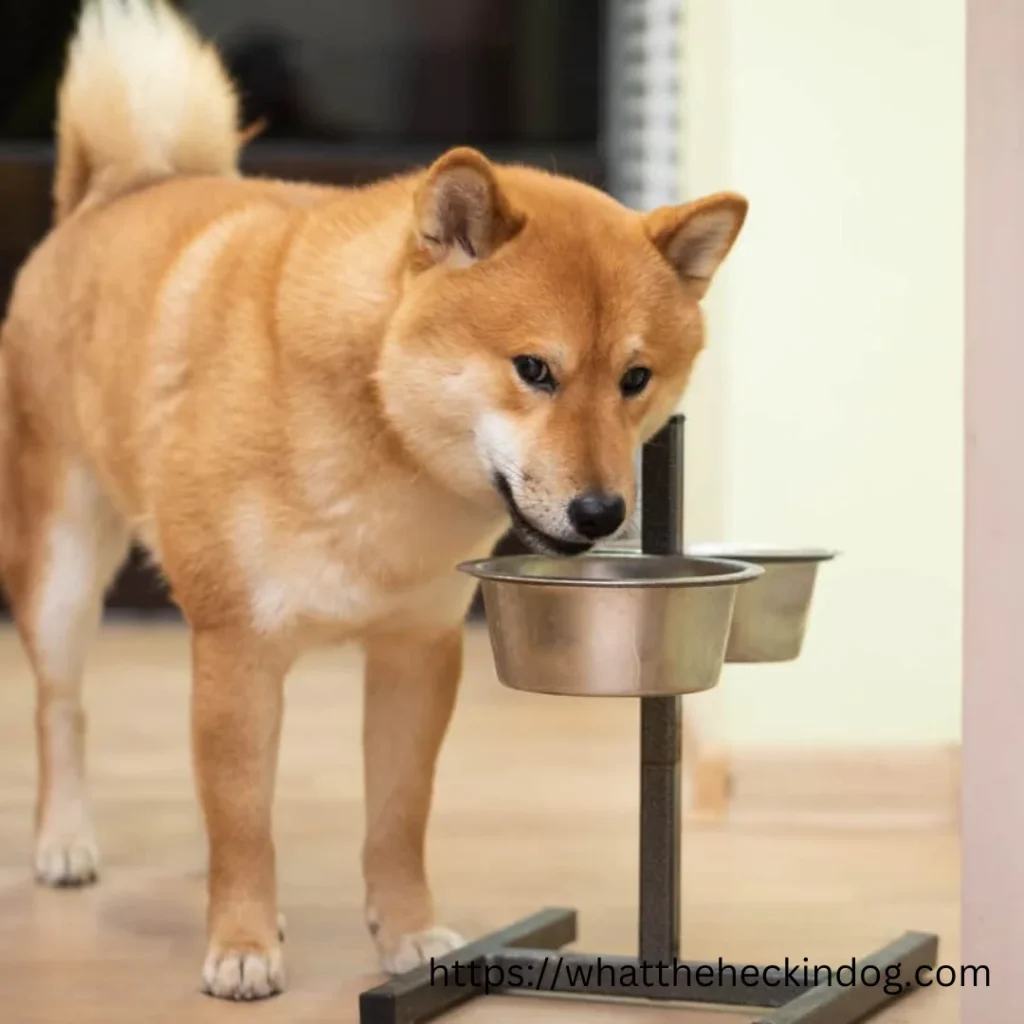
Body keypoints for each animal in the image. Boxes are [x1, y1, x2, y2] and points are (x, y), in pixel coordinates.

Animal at [0, 0, 749, 999]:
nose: (602, 514)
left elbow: (395, 818)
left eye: (636, 379)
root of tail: (112, 191)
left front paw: (410, 937)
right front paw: (243, 944)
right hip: (63, 565)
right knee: (60, 708)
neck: (381, 443)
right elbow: (244, 827)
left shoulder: (415, 650)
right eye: (534, 369)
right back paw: (64, 841)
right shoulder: (237, 651)